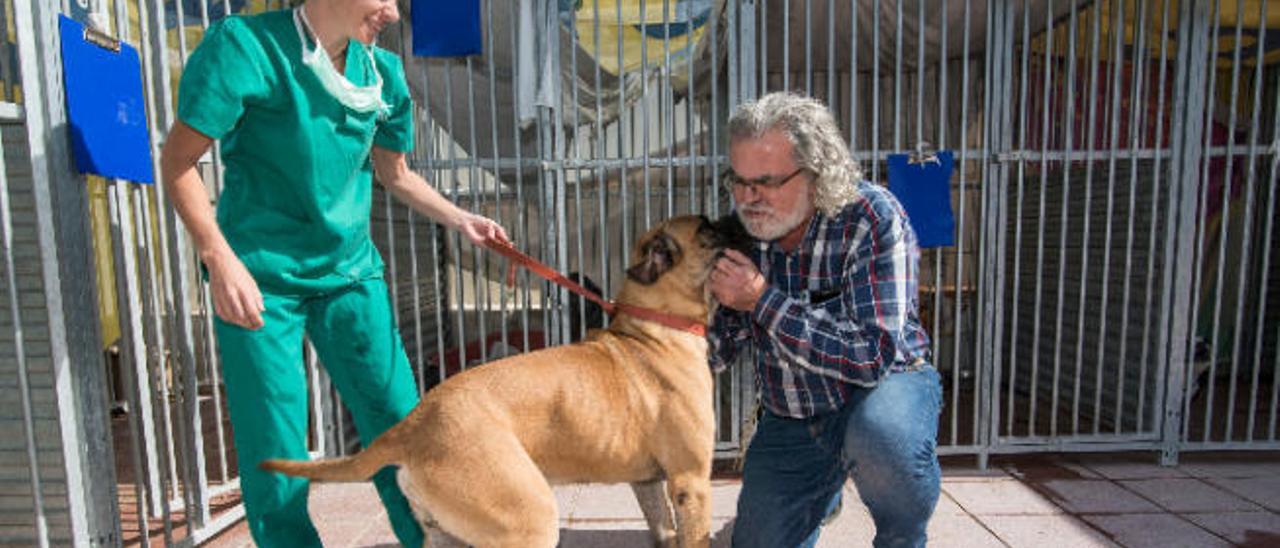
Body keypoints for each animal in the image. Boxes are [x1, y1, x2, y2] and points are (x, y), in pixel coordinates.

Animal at [259, 215, 742, 548]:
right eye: (706, 228)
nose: (734, 213)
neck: (656, 326)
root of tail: (415, 426)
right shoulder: (691, 481)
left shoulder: (648, 483)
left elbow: (664, 532)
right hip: (527, 519)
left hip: (446, 534)